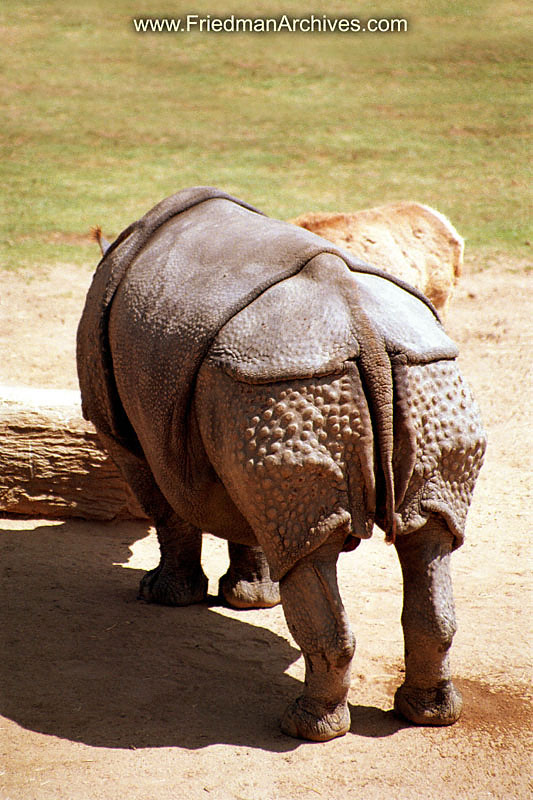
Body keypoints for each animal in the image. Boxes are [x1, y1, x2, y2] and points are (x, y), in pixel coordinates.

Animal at [77, 187, 486, 741]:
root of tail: (364, 330)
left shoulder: (126, 434)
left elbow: (171, 513)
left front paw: (163, 596)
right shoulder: (233, 423)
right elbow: (250, 516)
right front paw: (252, 598)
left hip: (285, 379)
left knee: (312, 551)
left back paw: (302, 728)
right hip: (410, 374)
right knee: (426, 538)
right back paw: (429, 715)